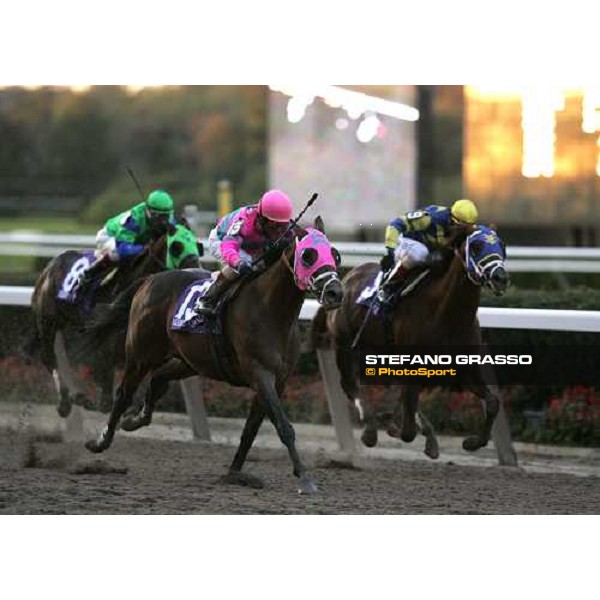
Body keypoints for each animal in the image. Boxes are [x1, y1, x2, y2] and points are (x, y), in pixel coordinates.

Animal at [86, 218, 344, 494]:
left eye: (335, 255)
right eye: (308, 255)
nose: (335, 293)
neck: (272, 312)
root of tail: (150, 279)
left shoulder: (279, 380)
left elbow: (251, 428)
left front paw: (234, 473)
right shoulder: (260, 373)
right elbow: (283, 426)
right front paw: (306, 479)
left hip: (189, 361)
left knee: (158, 379)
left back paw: (135, 420)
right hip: (141, 355)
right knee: (124, 394)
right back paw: (100, 441)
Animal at [312, 226, 508, 460]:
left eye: (502, 246)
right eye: (477, 246)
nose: (500, 277)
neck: (446, 312)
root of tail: (346, 278)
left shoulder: (463, 367)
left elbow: (494, 402)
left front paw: (472, 442)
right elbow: (407, 431)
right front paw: (392, 423)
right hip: (345, 344)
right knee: (349, 384)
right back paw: (371, 430)